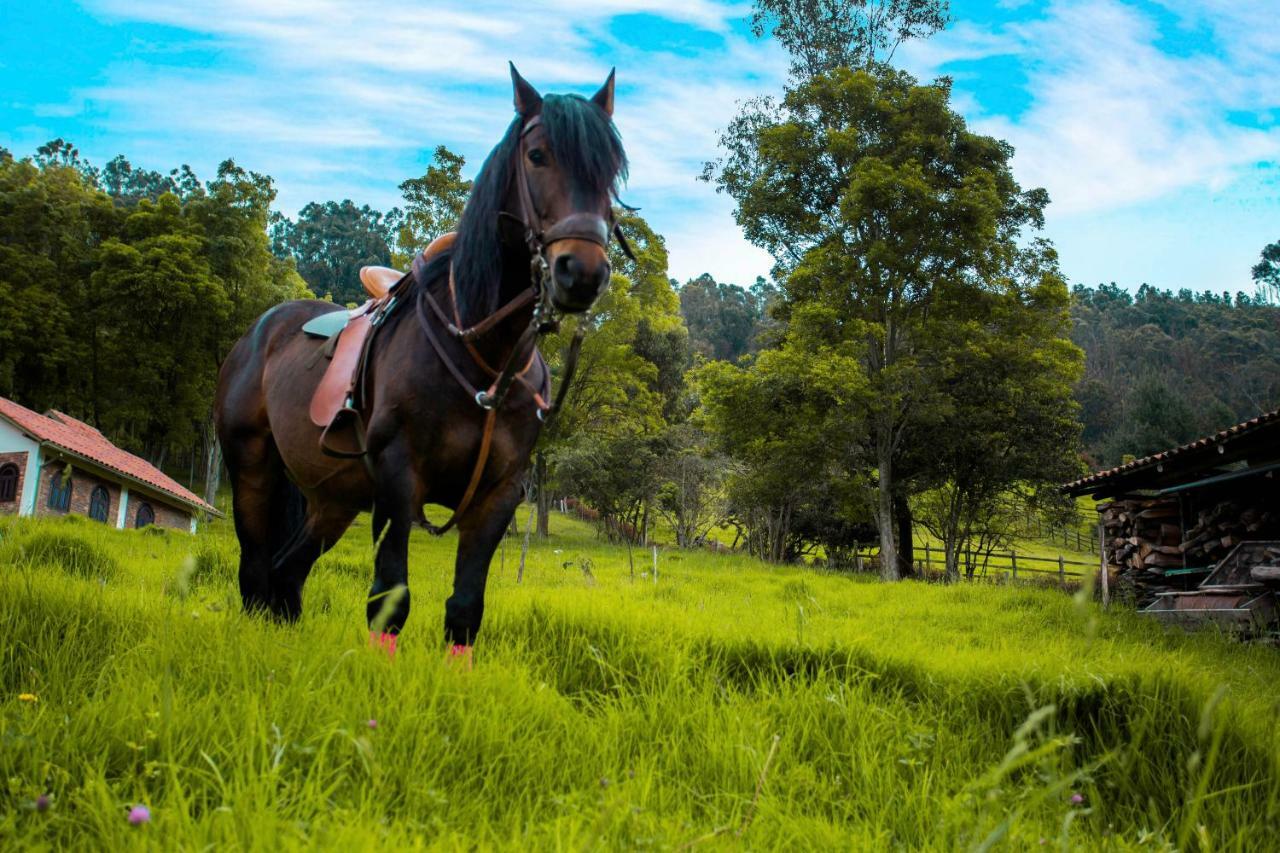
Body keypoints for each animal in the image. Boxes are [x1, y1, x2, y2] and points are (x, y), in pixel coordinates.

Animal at [215, 64, 629, 650]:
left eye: (612, 170)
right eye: (537, 155)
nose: (583, 272)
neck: (483, 359)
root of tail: (262, 328)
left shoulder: (499, 496)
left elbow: (464, 610)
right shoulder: (396, 479)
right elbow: (389, 600)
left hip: (333, 500)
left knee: (285, 576)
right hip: (251, 468)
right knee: (254, 573)